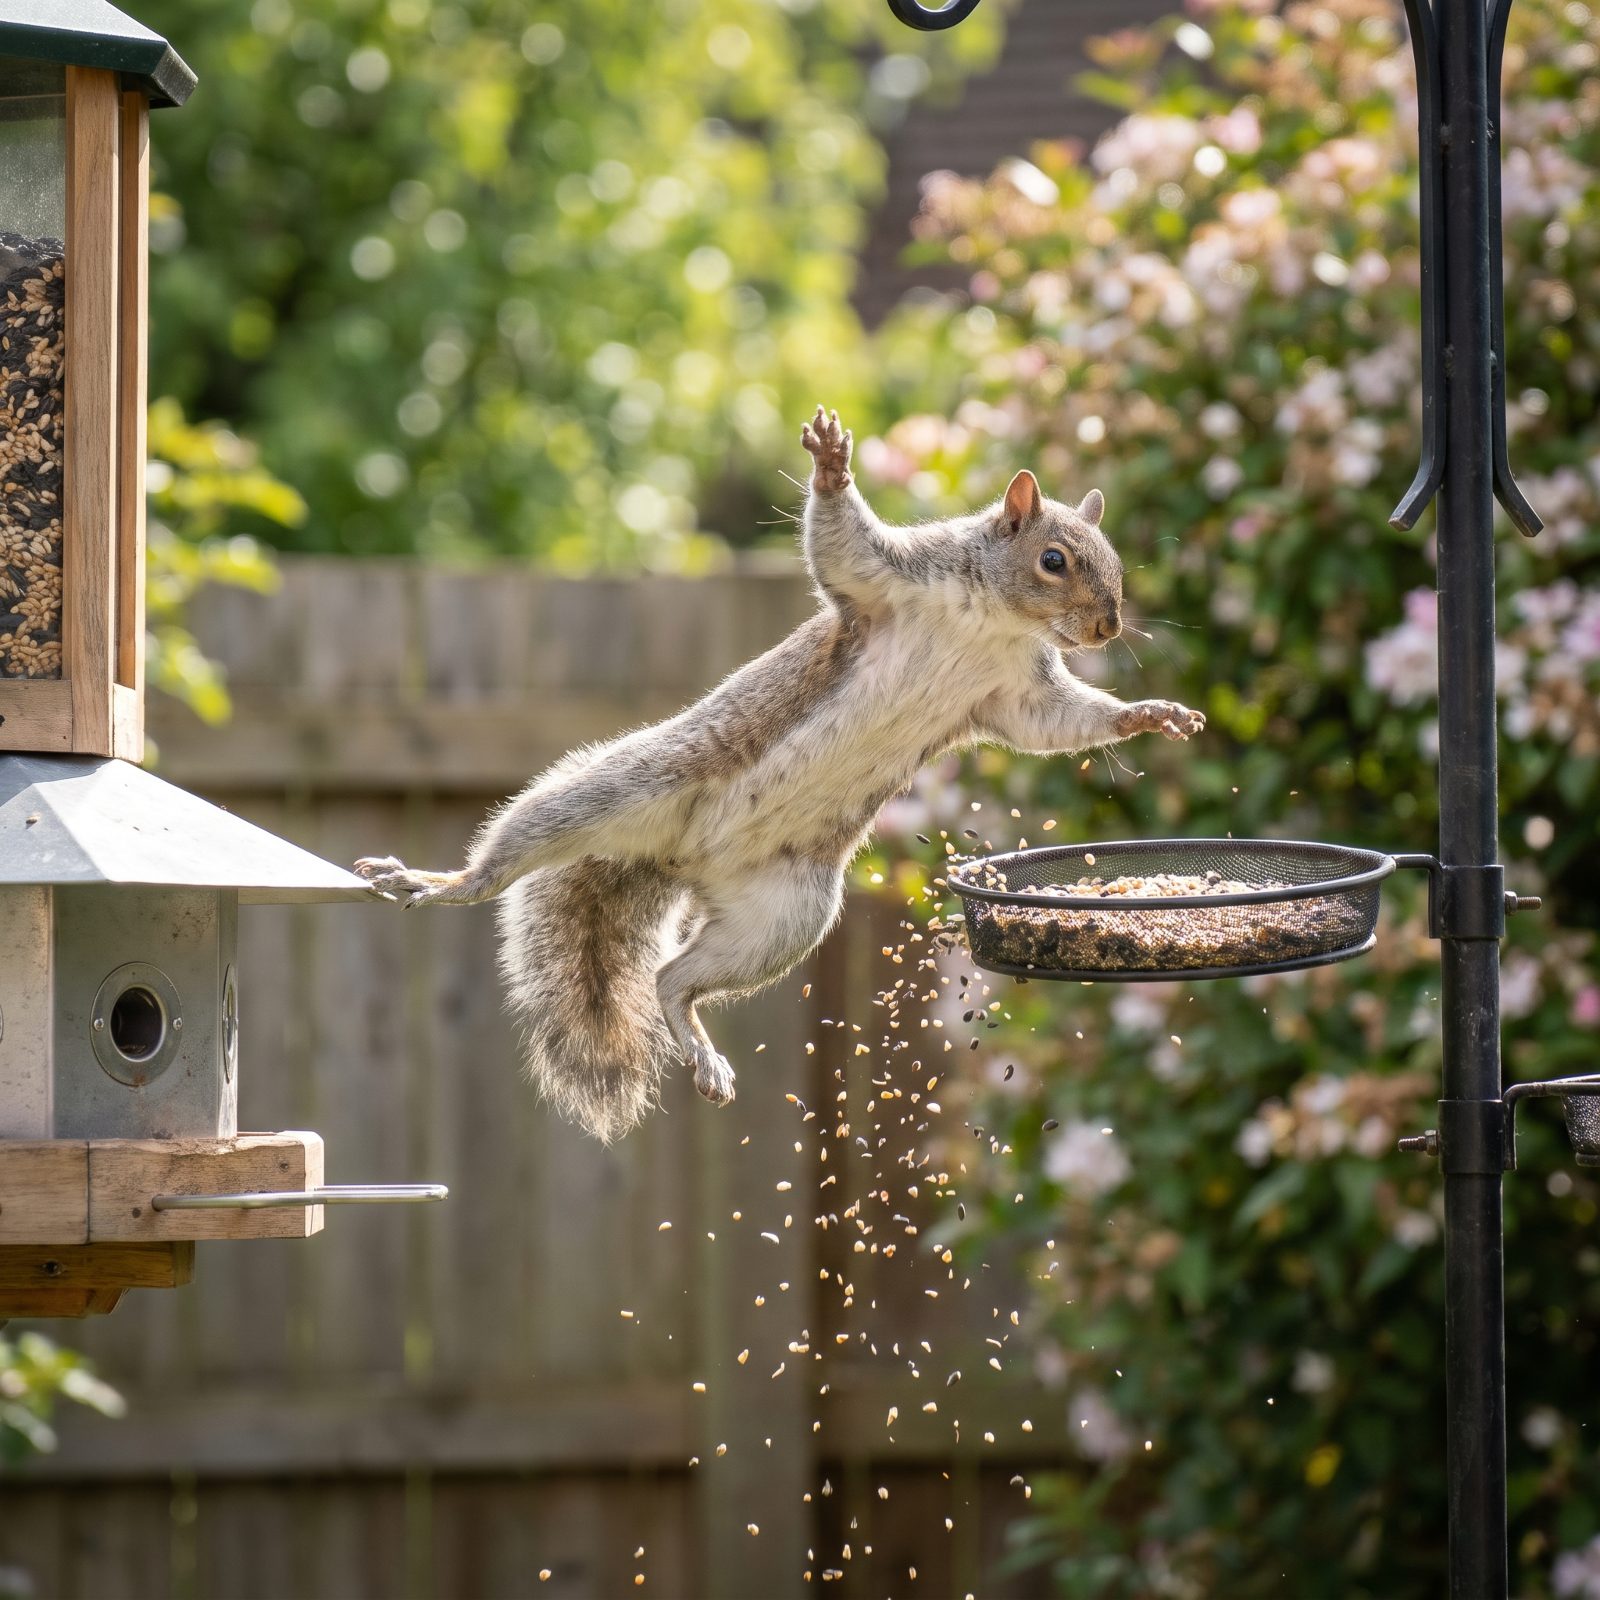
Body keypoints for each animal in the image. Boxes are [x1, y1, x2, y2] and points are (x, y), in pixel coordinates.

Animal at [355, 407, 1205, 1143]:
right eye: (1054, 560)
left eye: (1116, 563)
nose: (1107, 627)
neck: (995, 619)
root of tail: (680, 860)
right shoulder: (889, 581)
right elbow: (841, 543)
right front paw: (831, 464)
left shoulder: (1018, 692)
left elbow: (1061, 724)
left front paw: (1150, 715)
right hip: (621, 790)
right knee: (509, 864)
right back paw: (435, 882)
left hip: (785, 917)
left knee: (673, 979)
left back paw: (702, 1051)